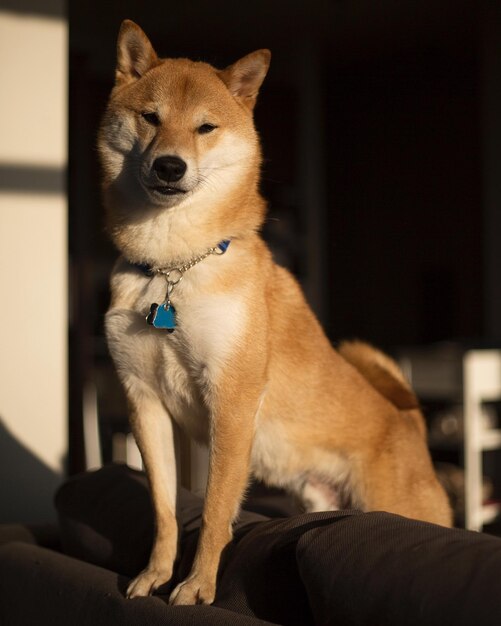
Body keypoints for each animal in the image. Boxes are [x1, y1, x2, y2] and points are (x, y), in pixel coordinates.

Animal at [99, 20, 452, 604]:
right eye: (151, 117)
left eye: (206, 128)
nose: (170, 165)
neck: (171, 267)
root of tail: (411, 425)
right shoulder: (143, 400)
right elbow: (165, 510)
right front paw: (155, 573)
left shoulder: (232, 399)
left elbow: (215, 509)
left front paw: (199, 585)